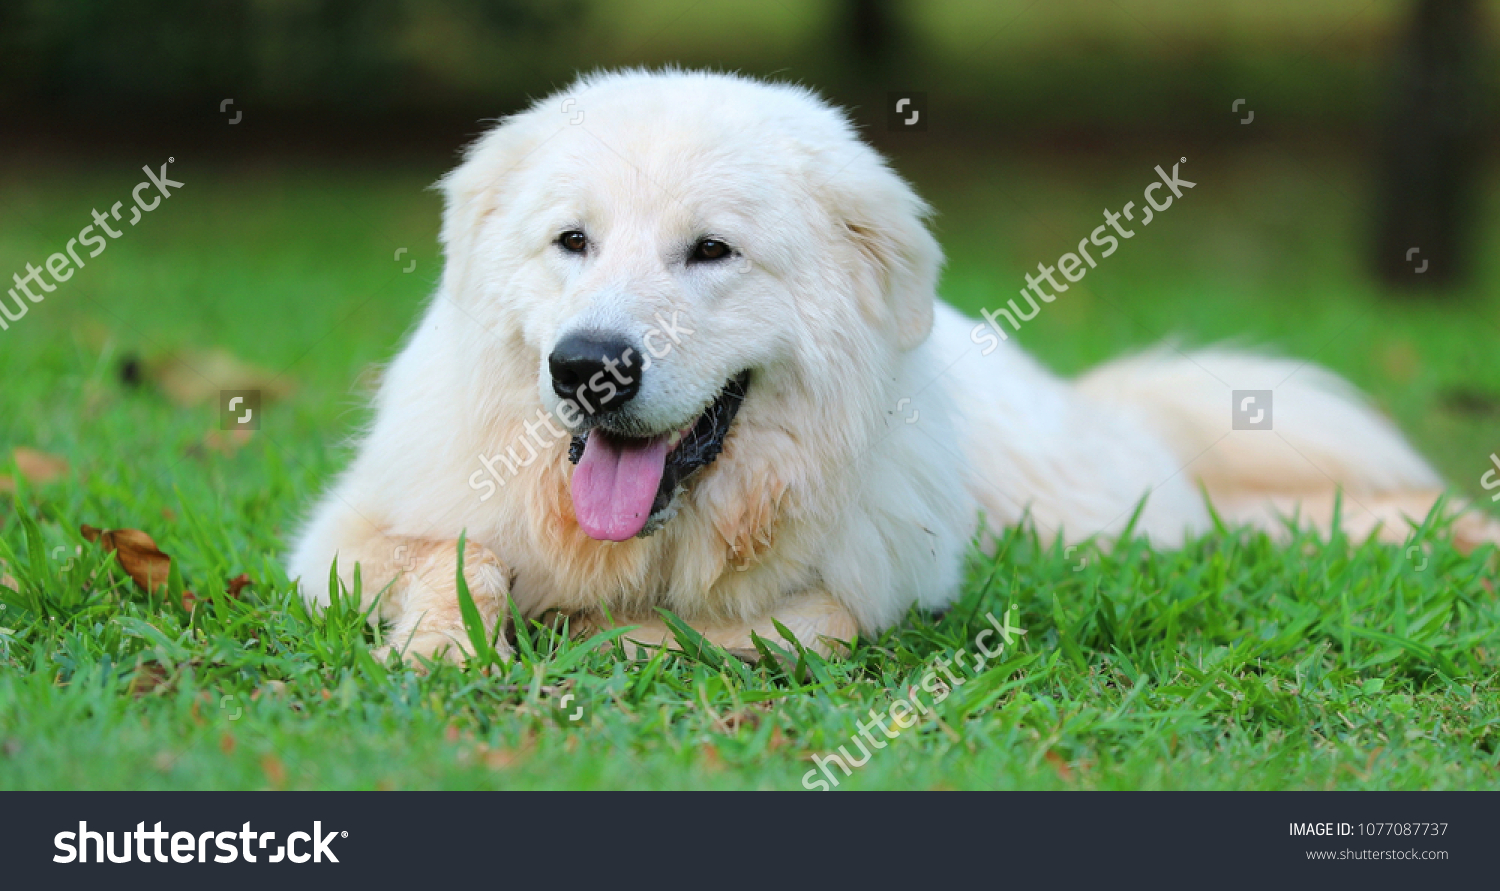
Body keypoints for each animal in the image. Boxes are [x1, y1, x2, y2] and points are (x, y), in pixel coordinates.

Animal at [286, 67, 1494, 660]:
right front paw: (445, 644)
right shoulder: (342, 538)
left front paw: (601, 636)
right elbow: (454, 558)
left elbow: (776, 625)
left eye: (711, 250)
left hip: (1094, 512)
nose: (588, 368)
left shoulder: (876, 586)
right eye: (571, 241)